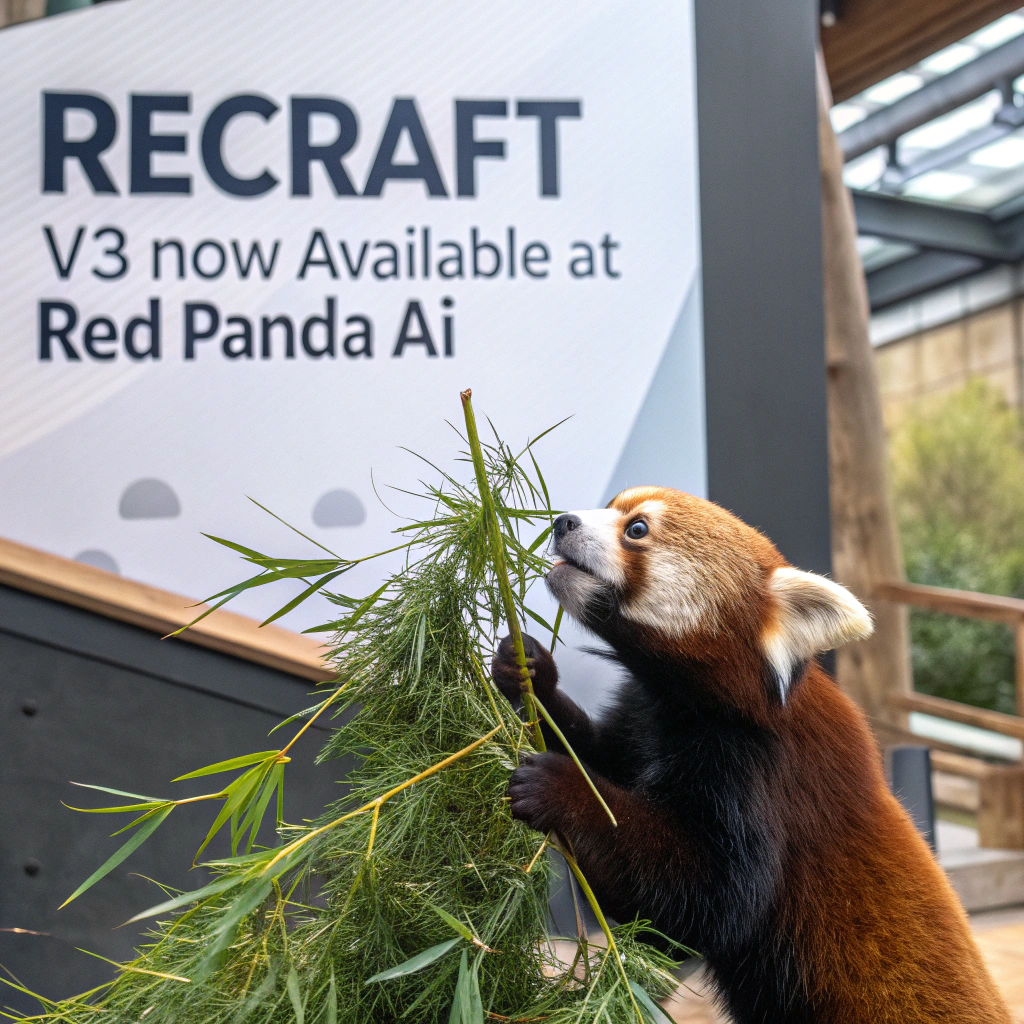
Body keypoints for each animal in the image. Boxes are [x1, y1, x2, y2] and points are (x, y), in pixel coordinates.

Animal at [491, 486, 1010, 1024]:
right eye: (612, 506)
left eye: (636, 529)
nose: (563, 522)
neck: (686, 699)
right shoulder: (641, 718)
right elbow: (595, 751)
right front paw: (528, 672)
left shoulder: (757, 769)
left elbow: (709, 905)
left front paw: (562, 788)